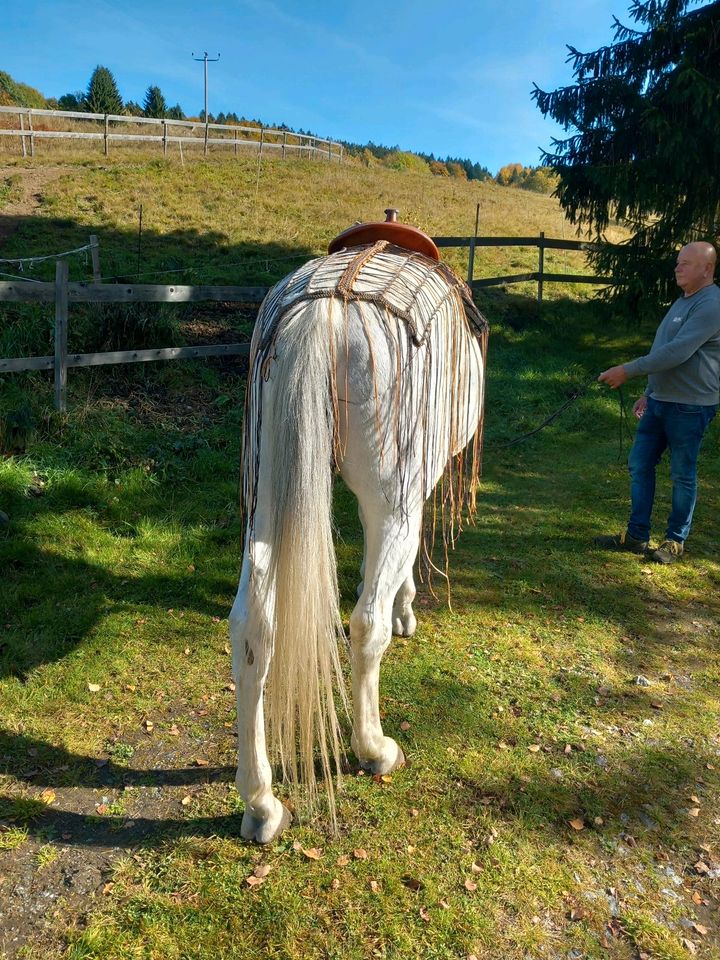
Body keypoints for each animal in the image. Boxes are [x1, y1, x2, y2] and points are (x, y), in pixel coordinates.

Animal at [231, 238, 490, 840]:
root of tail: (328, 307)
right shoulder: (409, 499)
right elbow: (395, 575)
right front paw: (406, 610)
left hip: (266, 502)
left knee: (252, 630)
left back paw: (262, 802)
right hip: (391, 499)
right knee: (365, 624)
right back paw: (374, 748)